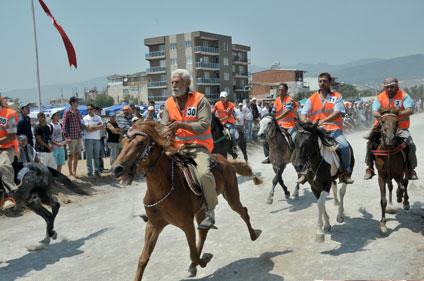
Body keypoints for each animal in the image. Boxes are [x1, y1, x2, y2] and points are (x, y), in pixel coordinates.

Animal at [109, 120, 262, 280]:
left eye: (140, 143)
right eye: (123, 142)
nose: (116, 169)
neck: (164, 189)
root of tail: (226, 161)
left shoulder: (186, 224)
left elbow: (193, 253)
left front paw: (204, 259)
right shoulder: (153, 225)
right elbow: (143, 258)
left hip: (231, 196)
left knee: (243, 211)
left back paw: (254, 235)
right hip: (201, 210)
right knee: (203, 232)